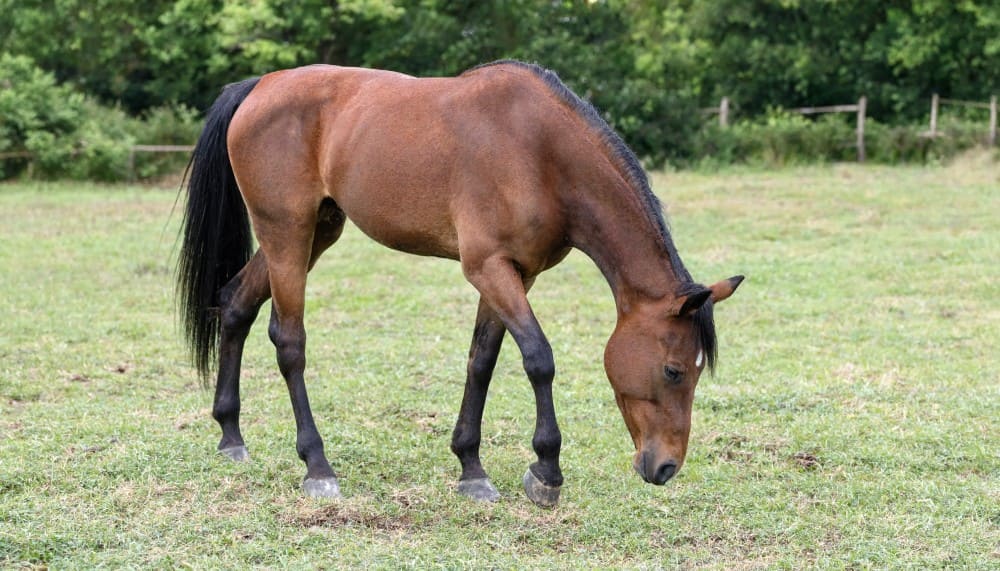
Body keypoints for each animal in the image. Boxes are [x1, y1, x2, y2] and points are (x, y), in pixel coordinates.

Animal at [177, 60, 742, 507]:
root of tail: (259, 86)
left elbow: (482, 361)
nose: (666, 467)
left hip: (317, 230)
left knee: (235, 306)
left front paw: (471, 467)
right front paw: (546, 472)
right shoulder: (488, 267)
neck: (541, 153)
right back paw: (317, 466)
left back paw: (230, 435)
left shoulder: (515, 273)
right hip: (287, 233)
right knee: (289, 342)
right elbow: (538, 358)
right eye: (673, 371)